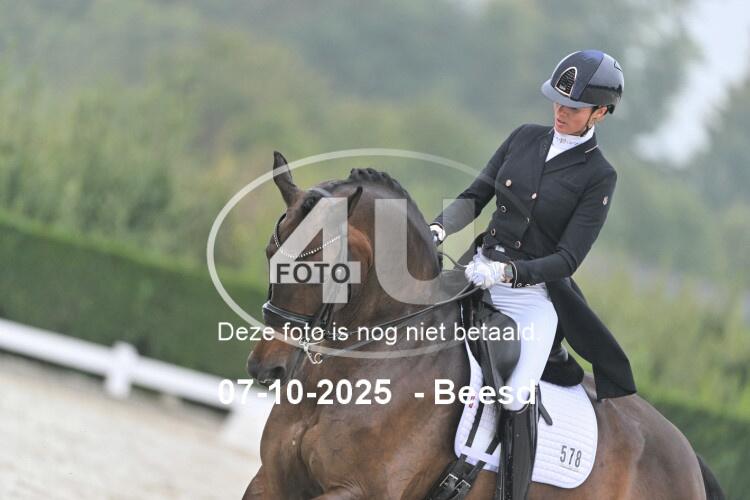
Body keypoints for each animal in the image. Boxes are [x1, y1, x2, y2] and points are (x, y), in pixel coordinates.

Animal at [243, 152, 723, 499]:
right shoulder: (271, 481)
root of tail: (688, 457)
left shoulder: (360, 493)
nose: (267, 369)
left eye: (329, 269)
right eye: (269, 253)